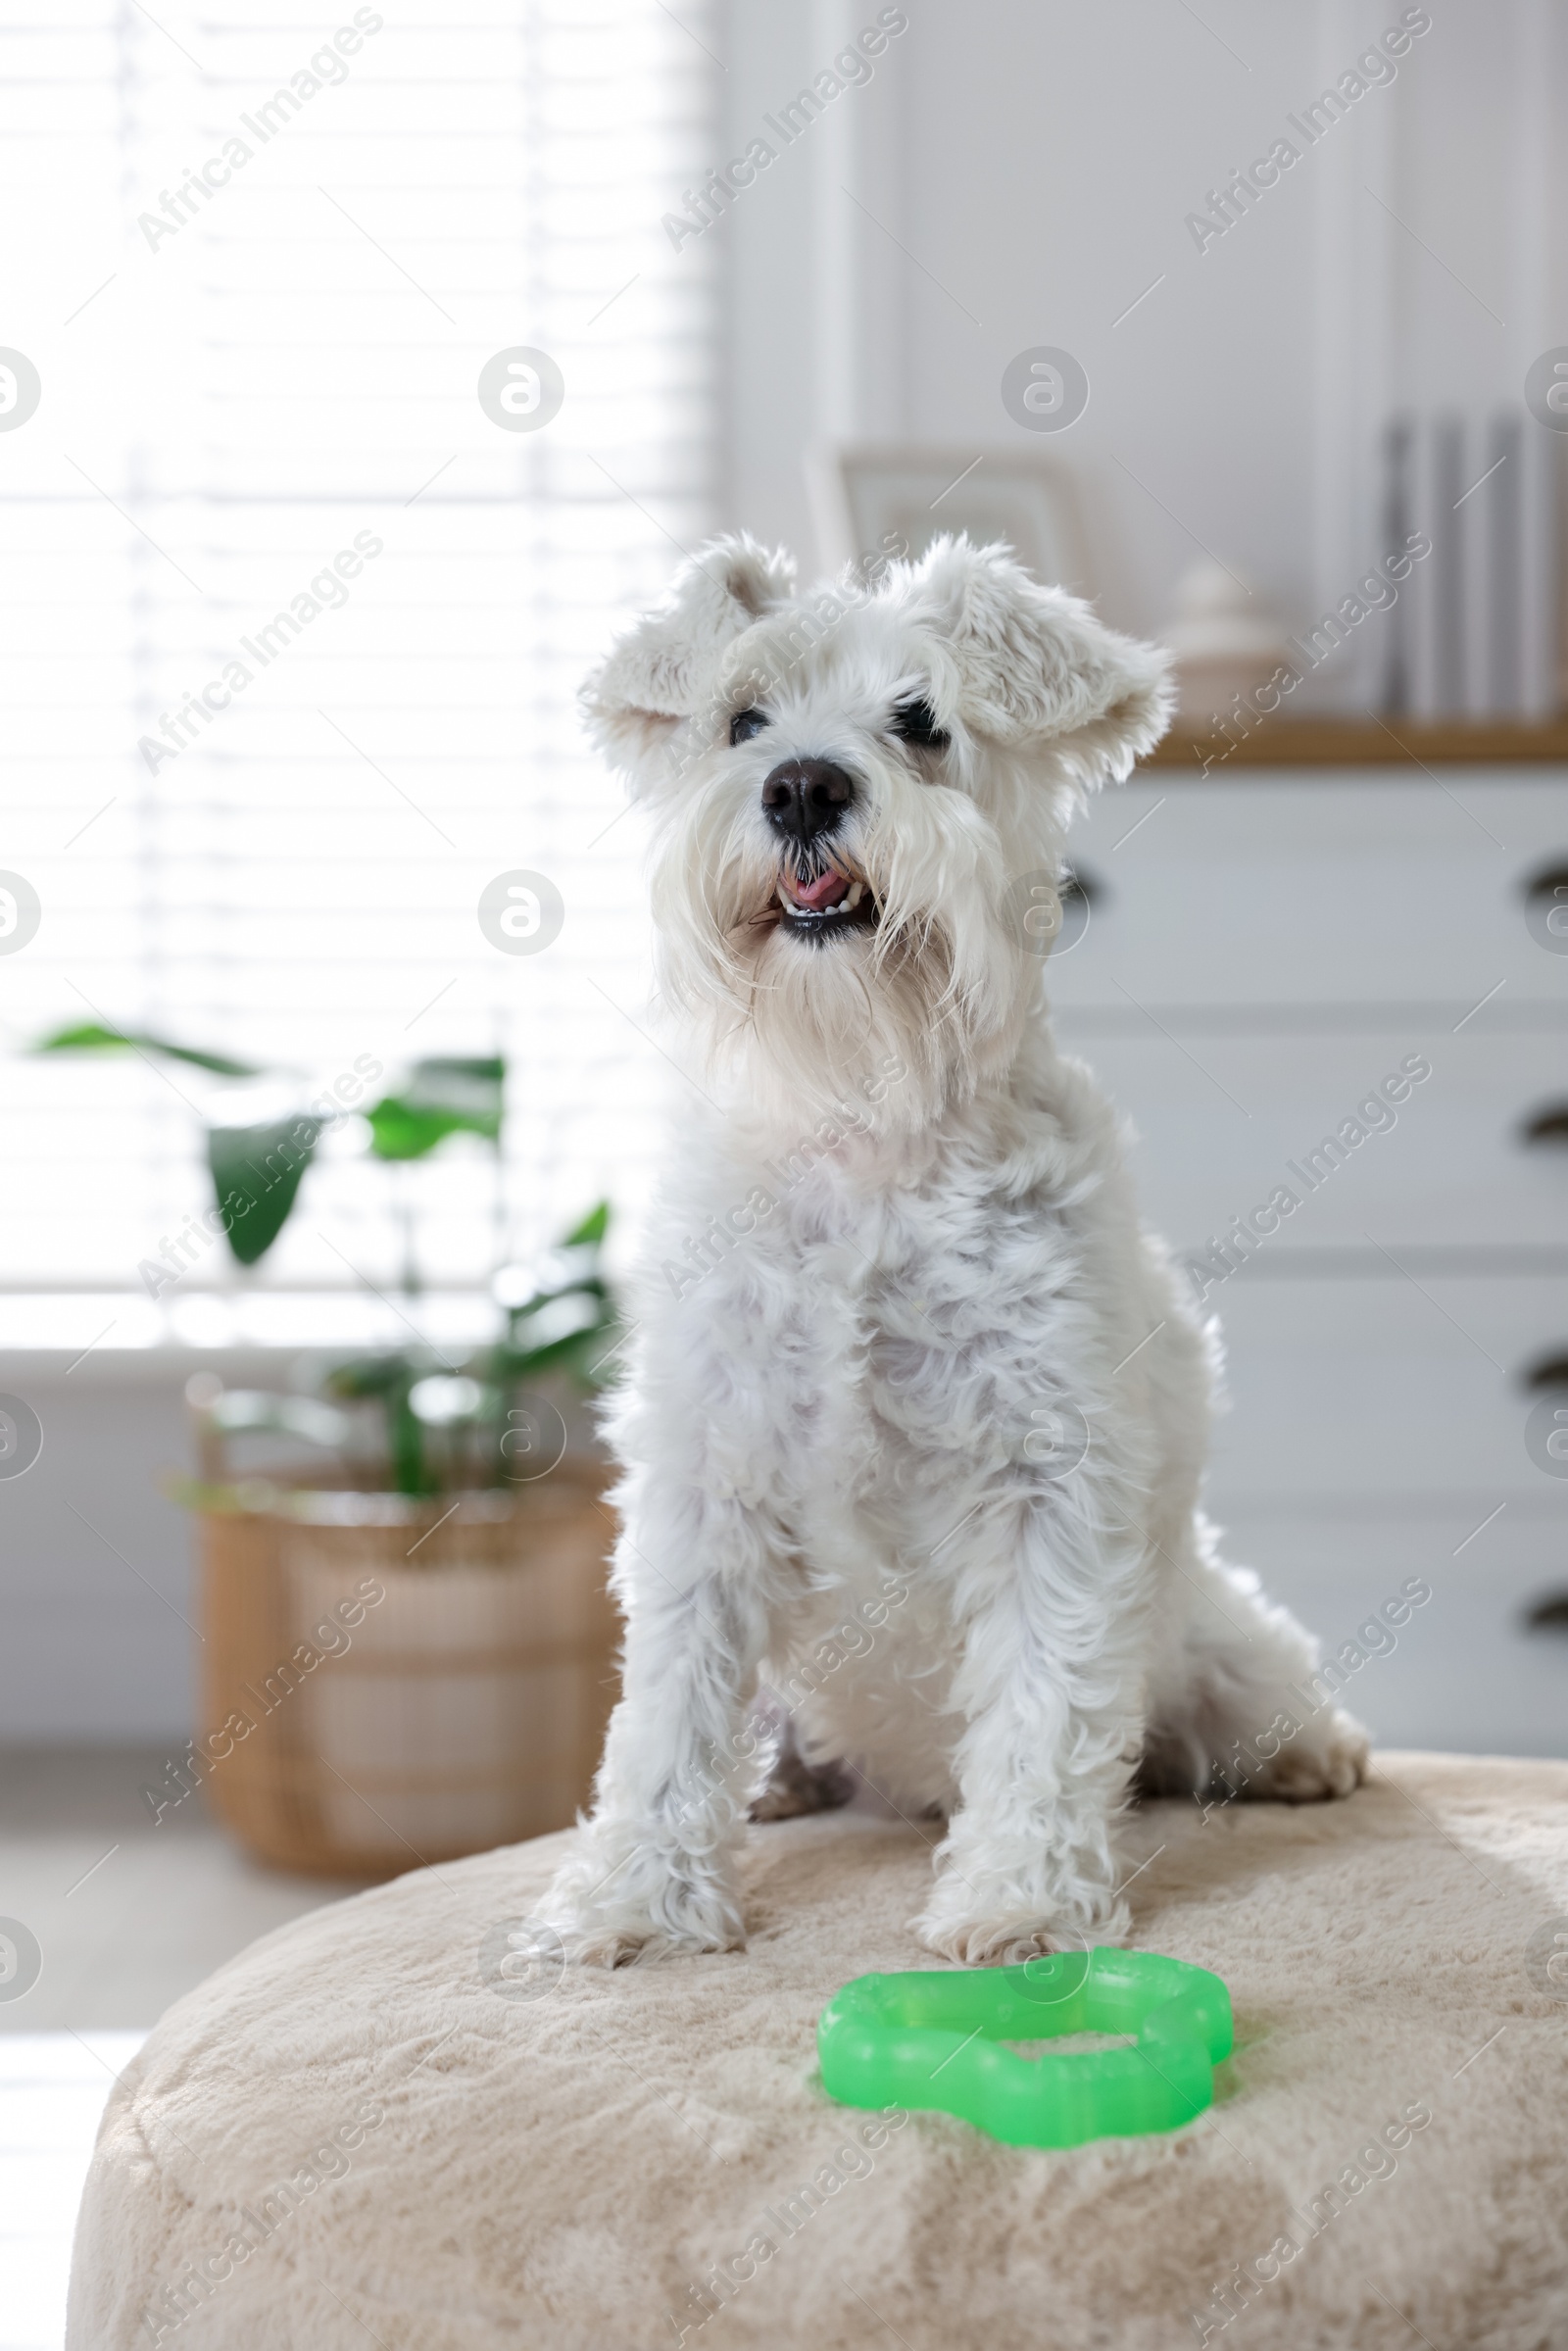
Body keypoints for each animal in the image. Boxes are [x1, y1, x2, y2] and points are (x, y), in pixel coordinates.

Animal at [543, 533, 1372, 1965]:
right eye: (741, 720)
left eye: (922, 719)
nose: (804, 784)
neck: (866, 1123)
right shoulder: (709, 1483)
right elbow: (671, 1717)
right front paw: (636, 1901)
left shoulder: (1051, 1480)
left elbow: (1046, 1709)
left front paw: (1019, 1900)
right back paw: (784, 1783)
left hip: (1212, 1636)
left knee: (1231, 1692)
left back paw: (1305, 1756)